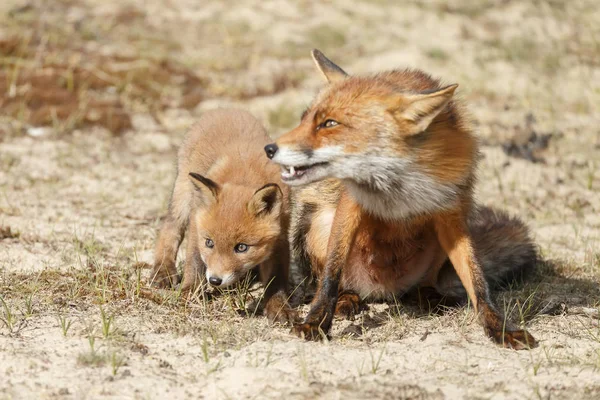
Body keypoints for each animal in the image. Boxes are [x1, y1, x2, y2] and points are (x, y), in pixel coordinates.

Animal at [151, 108, 296, 324]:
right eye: (209, 243)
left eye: (242, 247)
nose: (215, 280)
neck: (244, 176)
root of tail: (224, 109)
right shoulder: (197, 222)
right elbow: (194, 262)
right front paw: (190, 292)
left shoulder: (280, 235)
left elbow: (276, 280)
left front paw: (279, 307)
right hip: (183, 198)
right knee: (169, 229)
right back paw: (163, 271)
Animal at [264, 50, 536, 348]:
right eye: (304, 119)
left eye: (329, 123)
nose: (269, 148)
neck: (400, 185)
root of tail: (383, 292)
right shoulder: (350, 203)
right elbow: (330, 276)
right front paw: (316, 321)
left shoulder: (451, 213)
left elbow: (477, 279)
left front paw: (499, 327)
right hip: (319, 224)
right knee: (333, 279)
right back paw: (347, 299)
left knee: (423, 286)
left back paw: (428, 296)